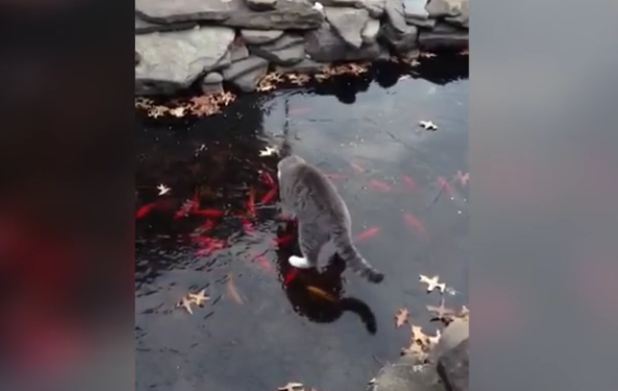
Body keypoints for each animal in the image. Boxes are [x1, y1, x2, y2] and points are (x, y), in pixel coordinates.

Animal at [276, 154, 382, 284]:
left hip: (308, 233)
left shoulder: (286, 197)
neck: (297, 165)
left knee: (311, 261)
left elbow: (287, 212)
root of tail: (338, 221)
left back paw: (296, 260)